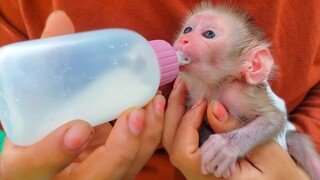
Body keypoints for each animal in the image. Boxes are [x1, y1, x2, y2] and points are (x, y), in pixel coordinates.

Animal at [174, 1, 318, 179]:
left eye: (209, 34)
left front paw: (225, 146)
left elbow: (273, 118)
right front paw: (208, 139)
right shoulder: (196, 97)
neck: (215, 86)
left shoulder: (239, 93)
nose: (184, 39)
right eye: (188, 29)